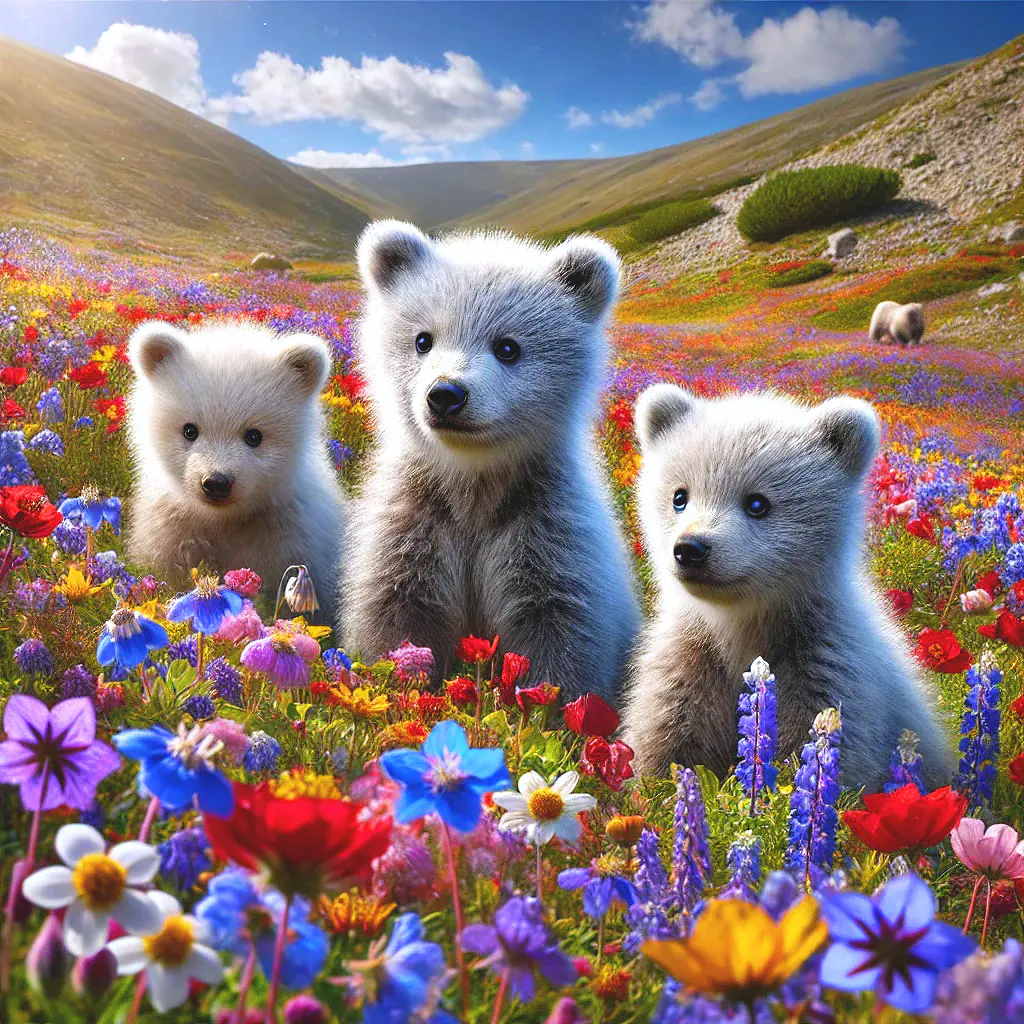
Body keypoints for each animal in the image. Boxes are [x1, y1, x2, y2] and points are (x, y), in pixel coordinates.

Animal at [126, 319, 344, 621]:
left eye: (254, 435)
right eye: (190, 430)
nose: (216, 482)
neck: (226, 520)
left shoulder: (288, 535)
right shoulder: (171, 529)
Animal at [341, 219, 641, 703]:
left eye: (508, 347)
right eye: (423, 339)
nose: (446, 394)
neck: (474, 488)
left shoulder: (546, 533)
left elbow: (560, 638)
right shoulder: (416, 524)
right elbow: (395, 618)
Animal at [620, 384, 952, 790]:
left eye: (757, 503)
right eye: (679, 496)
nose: (691, 549)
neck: (742, 628)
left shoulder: (823, 666)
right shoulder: (690, 664)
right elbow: (666, 745)